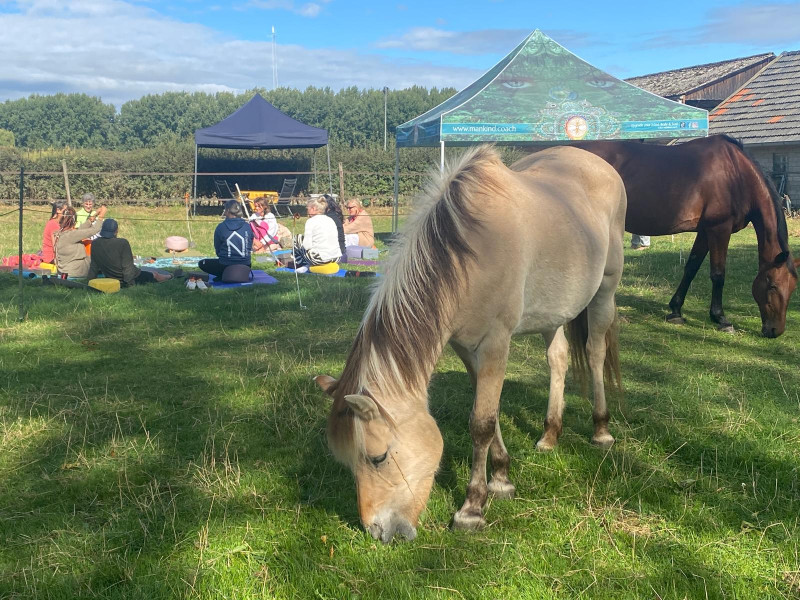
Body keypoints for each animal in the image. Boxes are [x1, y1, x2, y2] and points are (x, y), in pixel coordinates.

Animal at [315, 145, 627, 543]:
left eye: (378, 457)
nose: (379, 531)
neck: (471, 251)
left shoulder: (495, 343)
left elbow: (481, 423)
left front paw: (473, 508)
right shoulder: (466, 349)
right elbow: (490, 413)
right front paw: (502, 479)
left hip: (605, 291)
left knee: (595, 352)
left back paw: (601, 430)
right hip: (554, 312)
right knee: (558, 359)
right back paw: (549, 435)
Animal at [529, 135, 798, 337]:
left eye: (792, 287)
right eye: (772, 285)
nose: (775, 331)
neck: (736, 173)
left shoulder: (704, 232)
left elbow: (691, 267)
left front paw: (676, 310)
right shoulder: (719, 229)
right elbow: (718, 274)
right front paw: (721, 318)